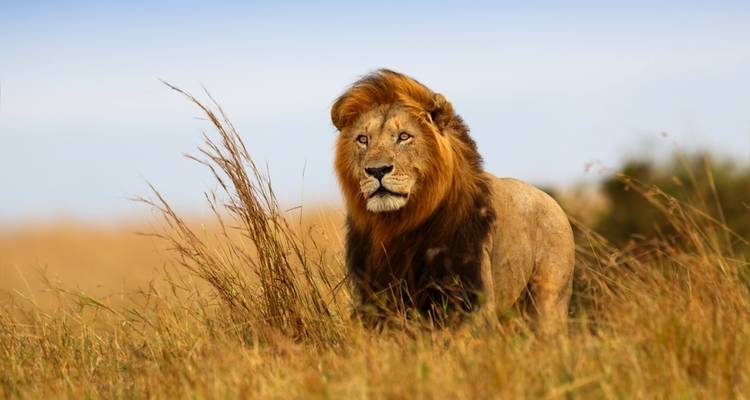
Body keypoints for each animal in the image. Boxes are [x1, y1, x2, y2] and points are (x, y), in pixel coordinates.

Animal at [331, 69, 575, 333]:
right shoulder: (373, 297)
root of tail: (553, 203)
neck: (398, 224)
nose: (377, 170)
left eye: (404, 136)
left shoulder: (472, 296)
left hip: (547, 301)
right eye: (362, 139)